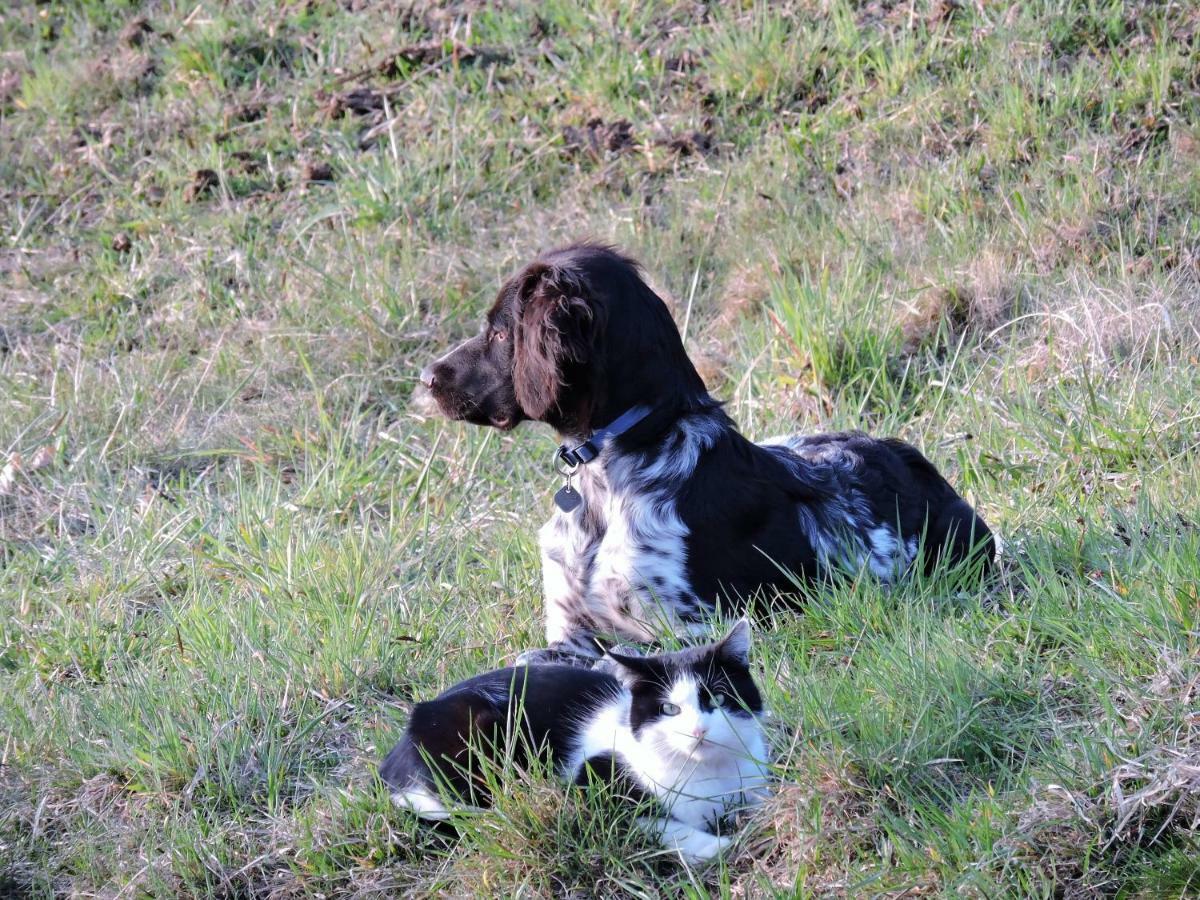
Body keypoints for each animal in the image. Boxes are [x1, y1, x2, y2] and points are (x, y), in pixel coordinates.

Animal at [384, 619, 777, 868]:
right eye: (669, 709)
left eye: (720, 698)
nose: (698, 731)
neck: (708, 774)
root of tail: (392, 760)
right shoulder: (589, 782)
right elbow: (654, 821)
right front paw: (715, 847)